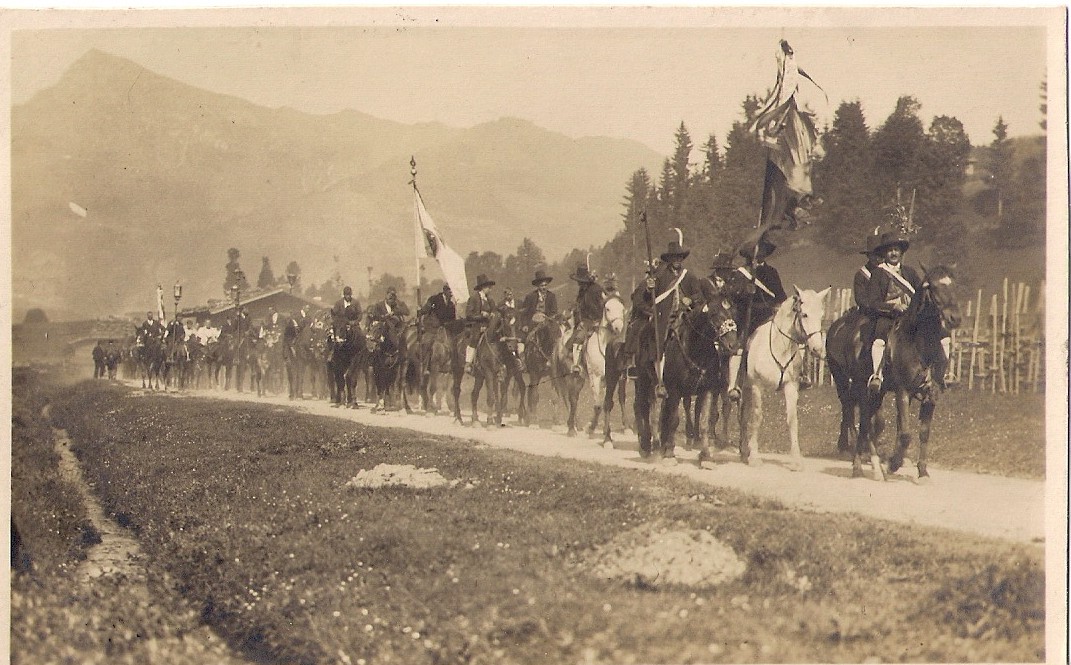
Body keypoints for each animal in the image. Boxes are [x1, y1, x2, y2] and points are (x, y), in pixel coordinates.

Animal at [586, 293, 625, 441]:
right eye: (607, 308)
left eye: (622, 308)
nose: (618, 327)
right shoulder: (595, 377)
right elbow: (598, 405)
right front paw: (591, 428)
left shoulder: (617, 377)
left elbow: (618, 399)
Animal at [629, 293, 741, 464]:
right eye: (714, 314)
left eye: (733, 314)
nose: (733, 345)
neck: (696, 351)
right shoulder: (675, 390)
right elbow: (674, 420)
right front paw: (669, 453)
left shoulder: (707, 390)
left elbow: (704, 422)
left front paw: (705, 456)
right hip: (643, 381)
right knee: (643, 407)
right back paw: (647, 446)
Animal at [741, 286, 831, 469]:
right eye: (804, 314)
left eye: (821, 315)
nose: (818, 350)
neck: (779, 347)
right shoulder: (757, 386)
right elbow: (757, 417)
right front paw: (754, 456)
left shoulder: (791, 386)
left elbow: (792, 419)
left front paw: (796, 459)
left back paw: (743, 449)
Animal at [822, 264, 968, 481]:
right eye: (932, 287)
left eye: (955, 285)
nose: (954, 318)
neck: (918, 342)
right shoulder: (902, 391)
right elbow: (905, 434)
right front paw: (894, 463)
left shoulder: (930, 395)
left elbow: (922, 433)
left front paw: (922, 471)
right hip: (853, 385)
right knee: (858, 421)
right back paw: (859, 466)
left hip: (876, 392)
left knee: (870, 424)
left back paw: (874, 464)